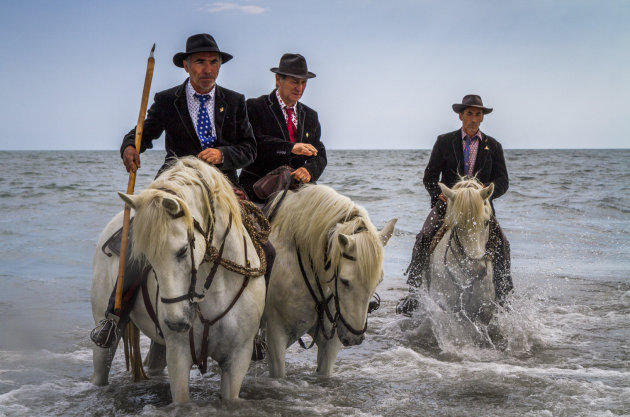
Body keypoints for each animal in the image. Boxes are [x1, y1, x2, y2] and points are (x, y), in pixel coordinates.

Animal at [89, 157, 266, 404]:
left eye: (183, 251)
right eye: (148, 258)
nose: (175, 322)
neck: (217, 286)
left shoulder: (238, 357)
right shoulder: (179, 354)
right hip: (106, 333)